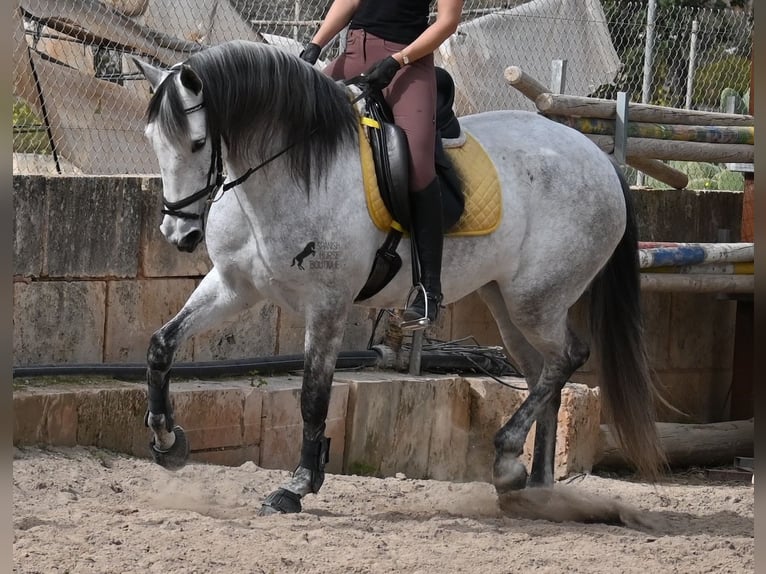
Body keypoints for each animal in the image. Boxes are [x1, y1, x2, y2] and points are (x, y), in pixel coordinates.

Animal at [132, 40, 664, 516]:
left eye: (198, 142)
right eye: (152, 141)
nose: (178, 234)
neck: (287, 173)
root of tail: (600, 159)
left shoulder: (328, 303)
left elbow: (313, 397)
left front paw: (298, 486)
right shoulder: (233, 287)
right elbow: (161, 345)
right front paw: (166, 441)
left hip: (538, 300)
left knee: (568, 358)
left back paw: (508, 460)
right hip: (508, 304)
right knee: (544, 374)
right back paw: (531, 486)